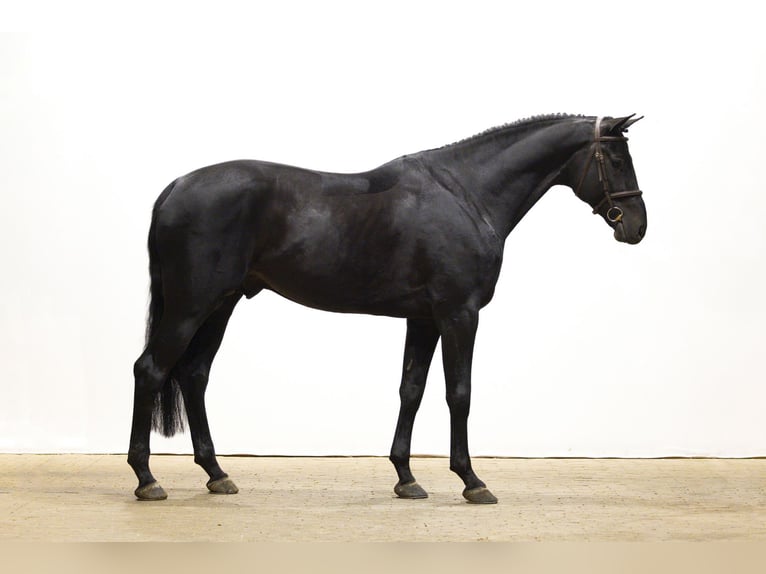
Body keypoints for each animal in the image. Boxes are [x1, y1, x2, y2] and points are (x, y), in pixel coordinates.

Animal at [128, 114, 646, 504]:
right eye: (617, 159)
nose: (637, 227)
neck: (467, 194)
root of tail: (176, 187)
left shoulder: (424, 318)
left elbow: (411, 390)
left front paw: (406, 478)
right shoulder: (459, 314)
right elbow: (459, 392)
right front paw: (472, 481)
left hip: (221, 304)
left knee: (194, 375)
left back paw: (217, 474)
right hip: (191, 306)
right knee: (151, 370)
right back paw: (147, 479)